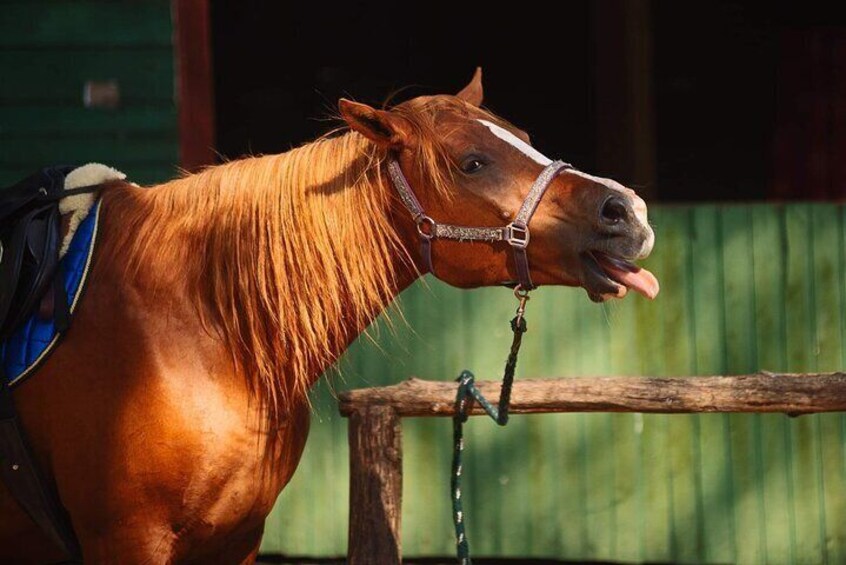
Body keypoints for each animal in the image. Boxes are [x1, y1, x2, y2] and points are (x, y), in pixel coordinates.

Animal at [0, 69, 660, 560]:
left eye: (521, 133)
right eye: (472, 162)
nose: (627, 211)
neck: (193, 328)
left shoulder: (237, 537)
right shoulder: (129, 540)